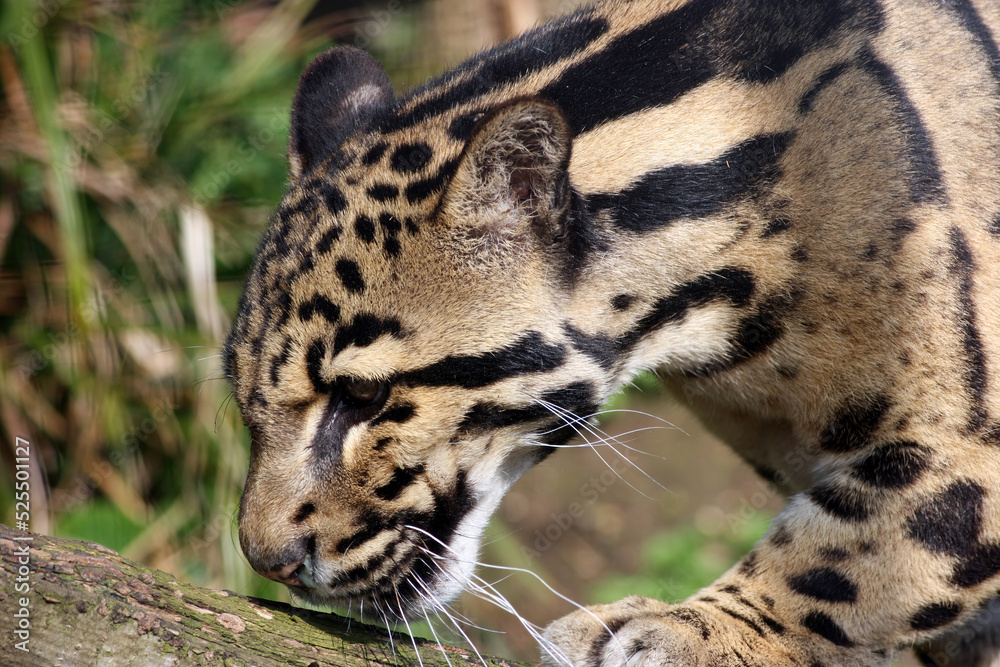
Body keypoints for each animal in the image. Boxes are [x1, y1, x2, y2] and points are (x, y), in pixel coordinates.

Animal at [222, 0, 1000, 664]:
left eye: (361, 397)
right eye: (243, 399)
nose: (267, 560)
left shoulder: (967, 448)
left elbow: (864, 549)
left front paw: (693, 629)